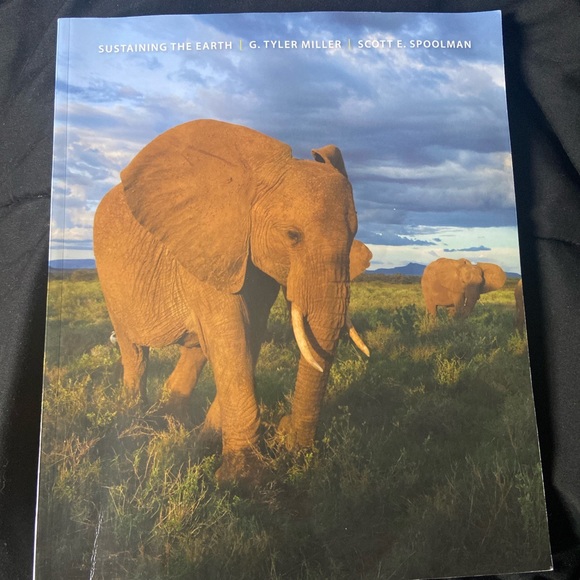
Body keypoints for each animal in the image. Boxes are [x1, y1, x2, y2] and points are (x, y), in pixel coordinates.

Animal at [93, 119, 366, 483]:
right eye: (292, 235)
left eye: (354, 236)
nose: (288, 438)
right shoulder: (207, 245)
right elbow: (231, 336)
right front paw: (241, 479)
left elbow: (249, 336)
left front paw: (209, 445)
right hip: (111, 284)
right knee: (135, 352)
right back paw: (133, 425)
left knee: (195, 350)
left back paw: (176, 423)